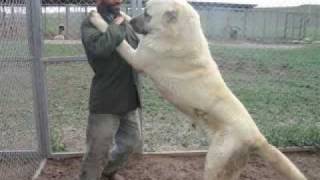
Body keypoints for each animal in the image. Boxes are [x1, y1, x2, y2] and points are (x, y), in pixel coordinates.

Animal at [87, 0, 308, 179]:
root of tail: (257, 137)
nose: (132, 22)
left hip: (214, 161)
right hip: (231, 166)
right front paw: (120, 17)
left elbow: (118, 41)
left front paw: (97, 18)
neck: (180, 34)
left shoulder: (137, 57)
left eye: (148, 14)